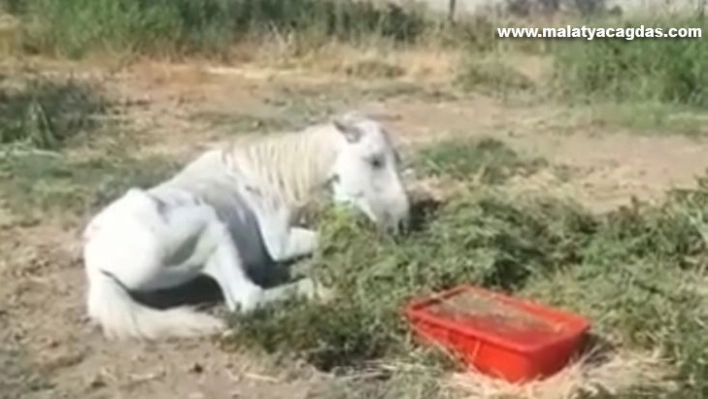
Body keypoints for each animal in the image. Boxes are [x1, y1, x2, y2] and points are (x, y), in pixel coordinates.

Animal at [81, 114, 412, 342]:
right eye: (374, 161)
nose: (401, 222)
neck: (267, 181)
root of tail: (95, 262)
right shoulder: (281, 242)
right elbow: (320, 238)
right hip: (214, 229)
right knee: (247, 298)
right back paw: (318, 290)